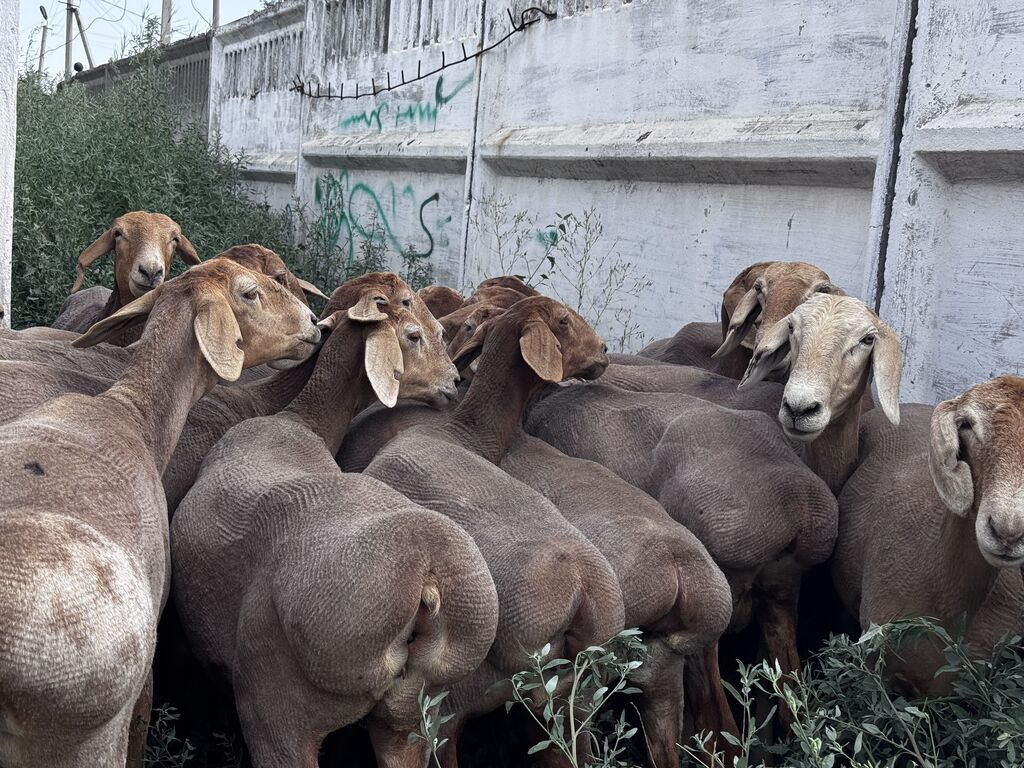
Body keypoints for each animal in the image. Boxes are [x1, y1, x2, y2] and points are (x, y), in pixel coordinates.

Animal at [170, 273, 498, 767]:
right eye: (413, 334)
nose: (455, 382)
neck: (299, 419)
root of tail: (428, 581)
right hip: (366, 717)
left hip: (288, 710)